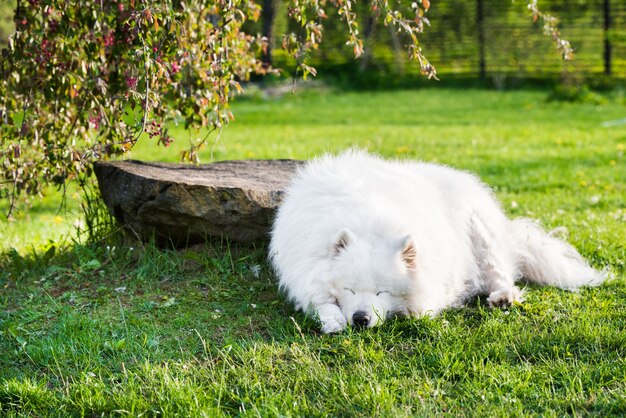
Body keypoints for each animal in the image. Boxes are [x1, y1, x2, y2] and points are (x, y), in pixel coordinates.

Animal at [270, 150, 604, 334]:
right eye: (349, 289)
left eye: (382, 292)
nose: (360, 318)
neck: (364, 217)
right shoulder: (305, 268)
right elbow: (322, 301)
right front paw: (334, 321)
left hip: (481, 235)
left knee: (500, 273)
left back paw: (502, 297)